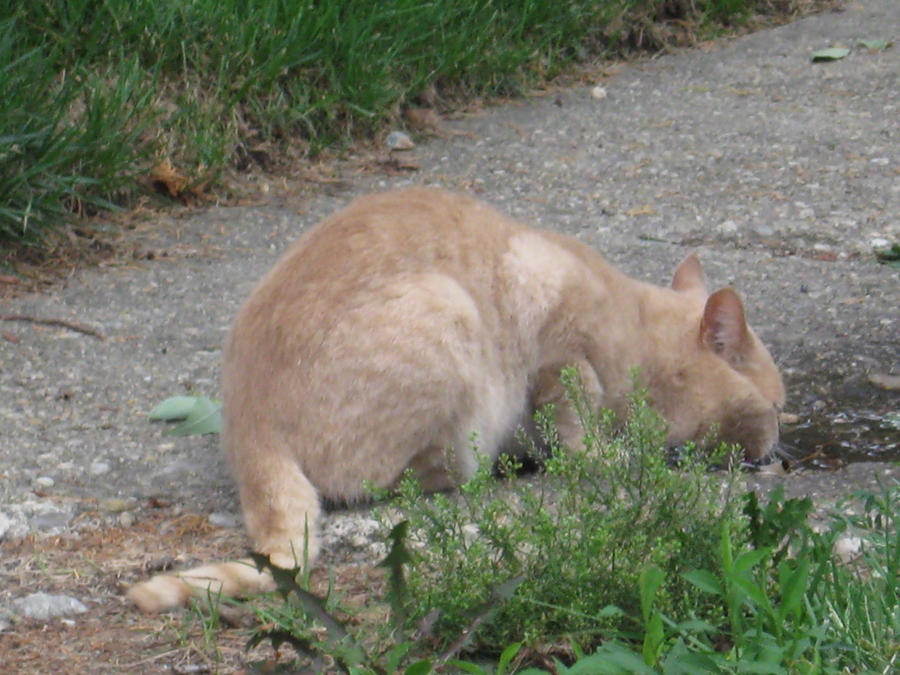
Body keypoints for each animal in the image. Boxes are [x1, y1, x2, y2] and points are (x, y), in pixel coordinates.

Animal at [130, 186, 784, 612]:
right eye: (778, 408)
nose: (777, 449)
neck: (636, 327)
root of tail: (247, 427)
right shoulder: (560, 349)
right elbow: (576, 425)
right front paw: (606, 455)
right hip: (448, 318)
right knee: (415, 477)